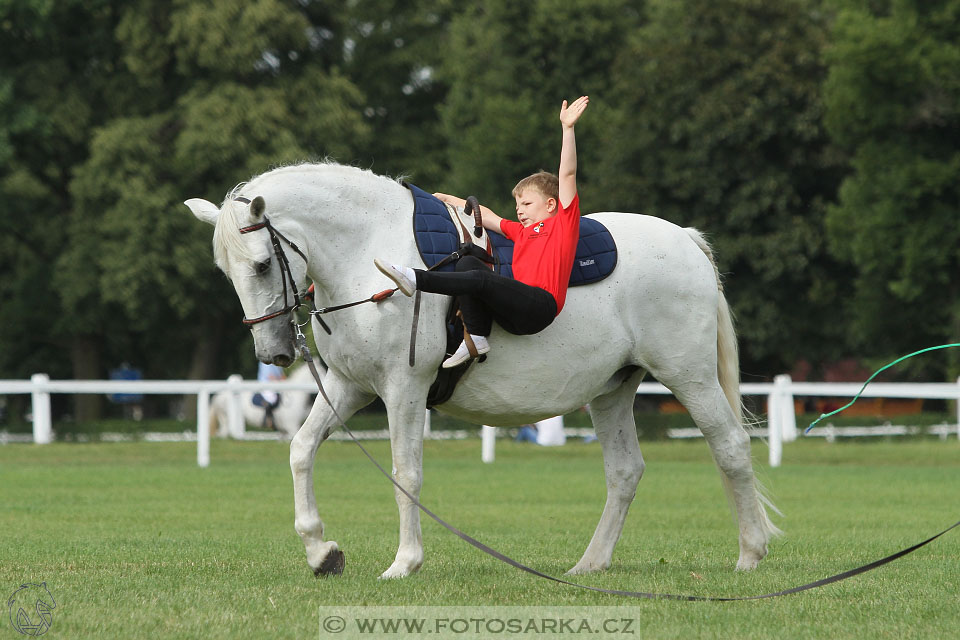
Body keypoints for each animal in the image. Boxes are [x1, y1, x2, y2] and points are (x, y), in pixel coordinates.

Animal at [186, 161, 780, 580]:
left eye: (263, 263)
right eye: (227, 270)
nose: (273, 354)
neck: (366, 253)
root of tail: (685, 240)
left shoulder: (403, 389)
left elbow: (405, 473)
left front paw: (404, 562)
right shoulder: (349, 387)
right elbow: (301, 450)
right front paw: (321, 551)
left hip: (690, 377)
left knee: (730, 448)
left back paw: (750, 554)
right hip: (612, 390)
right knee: (625, 472)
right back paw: (590, 563)